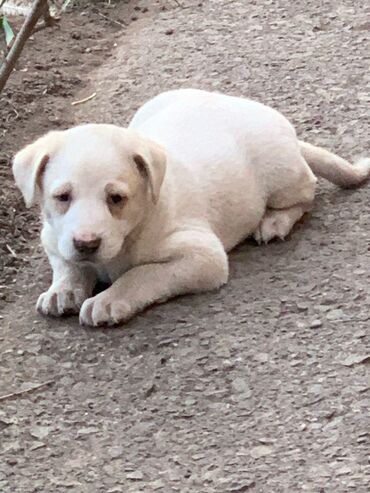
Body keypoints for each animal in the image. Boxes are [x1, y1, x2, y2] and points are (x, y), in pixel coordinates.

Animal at [12, 88, 370, 326]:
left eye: (116, 198)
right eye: (62, 197)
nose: (86, 244)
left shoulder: (203, 257)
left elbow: (142, 274)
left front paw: (110, 299)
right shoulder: (53, 238)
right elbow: (66, 264)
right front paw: (63, 290)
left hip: (283, 176)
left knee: (306, 193)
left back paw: (274, 222)